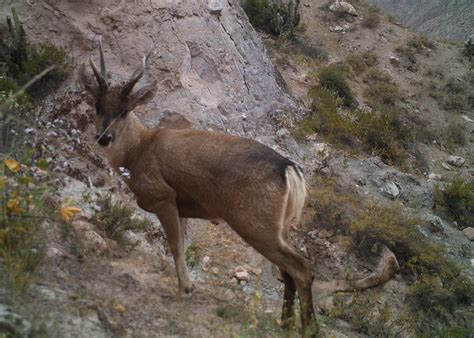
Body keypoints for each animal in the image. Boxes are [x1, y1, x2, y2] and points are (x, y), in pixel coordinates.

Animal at [78, 39, 314, 336]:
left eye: (125, 109)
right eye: (97, 104)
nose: (104, 137)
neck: (138, 151)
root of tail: (290, 169)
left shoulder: (163, 195)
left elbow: (175, 245)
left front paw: (184, 290)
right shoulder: (181, 207)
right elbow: (180, 242)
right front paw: (187, 286)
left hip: (253, 220)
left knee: (300, 267)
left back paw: (308, 328)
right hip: (279, 225)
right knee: (288, 271)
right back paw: (285, 322)